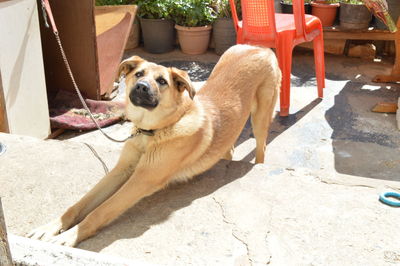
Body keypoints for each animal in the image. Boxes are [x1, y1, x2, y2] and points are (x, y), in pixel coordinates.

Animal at [28, 44, 282, 246]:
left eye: (162, 81)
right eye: (139, 73)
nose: (141, 86)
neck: (150, 133)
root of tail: (259, 47)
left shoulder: (142, 179)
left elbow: (99, 211)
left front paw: (68, 237)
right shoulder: (121, 170)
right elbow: (80, 204)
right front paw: (51, 227)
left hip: (260, 118)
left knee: (262, 148)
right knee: (228, 146)